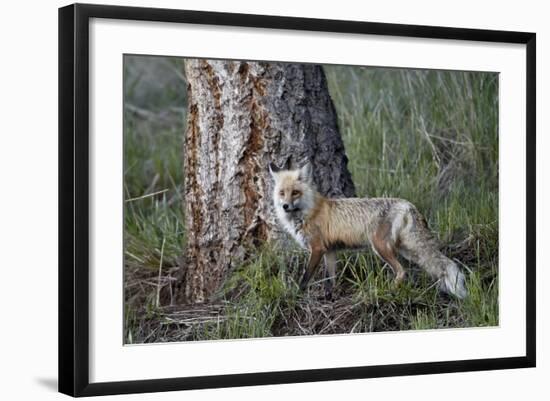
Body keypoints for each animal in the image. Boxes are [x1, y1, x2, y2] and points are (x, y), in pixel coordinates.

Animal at [270, 161, 468, 298]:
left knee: (402, 271)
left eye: (295, 192)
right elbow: (330, 280)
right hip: (407, 250)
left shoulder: (317, 248)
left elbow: (306, 277)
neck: (309, 211)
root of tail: (407, 205)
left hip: (380, 247)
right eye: (282, 193)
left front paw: (296, 293)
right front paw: (328, 297)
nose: (285, 206)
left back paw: (387, 292)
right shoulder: (330, 251)